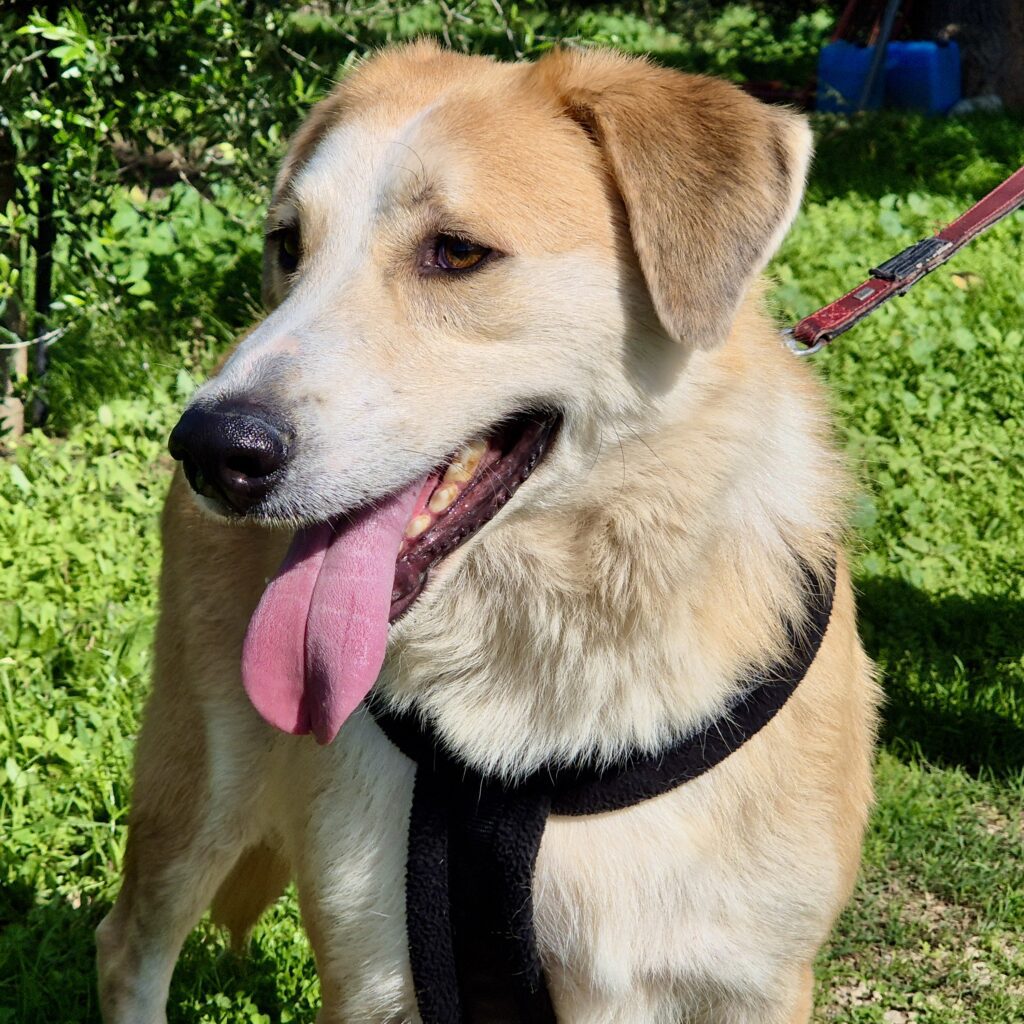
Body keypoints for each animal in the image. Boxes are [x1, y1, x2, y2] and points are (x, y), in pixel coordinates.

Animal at [96, 41, 879, 1024]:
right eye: (289, 245)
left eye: (458, 252)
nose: (211, 448)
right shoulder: (376, 971)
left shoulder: (752, 977)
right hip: (202, 774)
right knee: (128, 946)